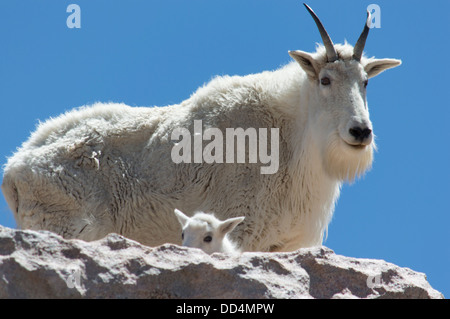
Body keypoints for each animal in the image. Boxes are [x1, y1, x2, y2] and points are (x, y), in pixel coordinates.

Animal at [0, 3, 400, 252]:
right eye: (326, 80)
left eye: (366, 81)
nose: (360, 132)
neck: (294, 137)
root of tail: (14, 169)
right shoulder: (243, 229)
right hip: (64, 225)